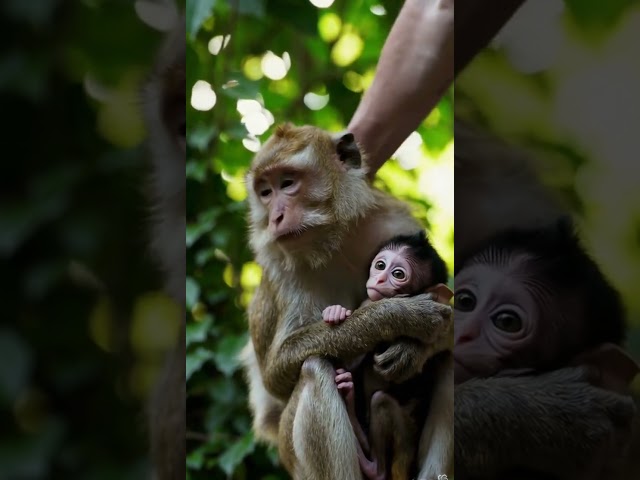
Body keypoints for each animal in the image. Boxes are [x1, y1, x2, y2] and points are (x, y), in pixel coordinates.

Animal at [322, 231, 452, 480]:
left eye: (398, 274)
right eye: (380, 265)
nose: (380, 279)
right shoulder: (368, 300)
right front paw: (336, 312)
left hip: (405, 446)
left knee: (381, 401)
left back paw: (374, 467)